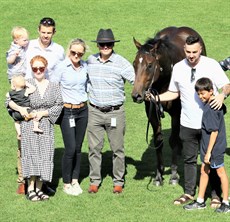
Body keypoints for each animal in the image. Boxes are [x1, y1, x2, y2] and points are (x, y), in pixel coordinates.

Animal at [132, 26, 206, 186]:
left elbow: (173, 141)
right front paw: (159, 176)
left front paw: (173, 175)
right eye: (134, 63)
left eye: (149, 65)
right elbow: (158, 141)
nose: (136, 95)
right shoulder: (152, 112)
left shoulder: (177, 113)